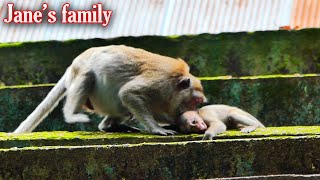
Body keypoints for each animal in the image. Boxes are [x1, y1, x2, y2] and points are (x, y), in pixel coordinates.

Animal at [13, 45, 206, 135]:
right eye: (195, 101)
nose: (196, 111)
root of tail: (71, 66)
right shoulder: (159, 84)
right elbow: (129, 93)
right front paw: (157, 129)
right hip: (84, 82)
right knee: (88, 76)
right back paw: (72, 115)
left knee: (124, 109)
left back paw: (111, 126)